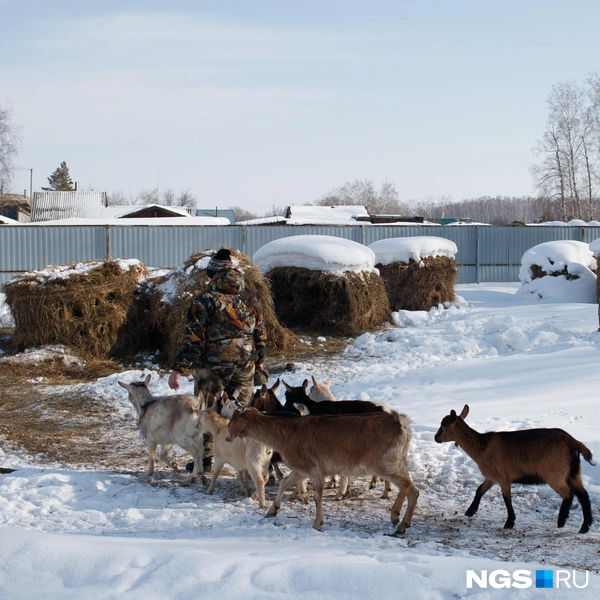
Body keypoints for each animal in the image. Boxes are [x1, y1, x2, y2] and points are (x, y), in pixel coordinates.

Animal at [225, 410, 418, 532]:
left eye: (231, 423)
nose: (227, 438)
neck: (285, 438)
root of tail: (404, 425)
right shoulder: (301, 469)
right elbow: (284, 483)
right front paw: (272, 510)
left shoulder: (314, 467)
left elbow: (318, 494)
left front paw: (318, 523)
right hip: (400, 462)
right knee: (414, 490)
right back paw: (404, 526)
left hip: (381, 463)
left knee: (406, 484)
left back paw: (395, 516)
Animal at [434, 406, 592, 532]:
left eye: (443, 425)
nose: (436, 438)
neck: (482, 447)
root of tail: (574, 443)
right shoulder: (491, 477)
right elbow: (480, 490)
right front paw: (470, 511)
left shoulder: (502, 476)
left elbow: (506, 497)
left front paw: (509, 522)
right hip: (573, 472)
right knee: (583, 495)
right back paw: (585, 526)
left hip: (554, 473)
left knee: (568, 493)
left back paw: (562, 521)